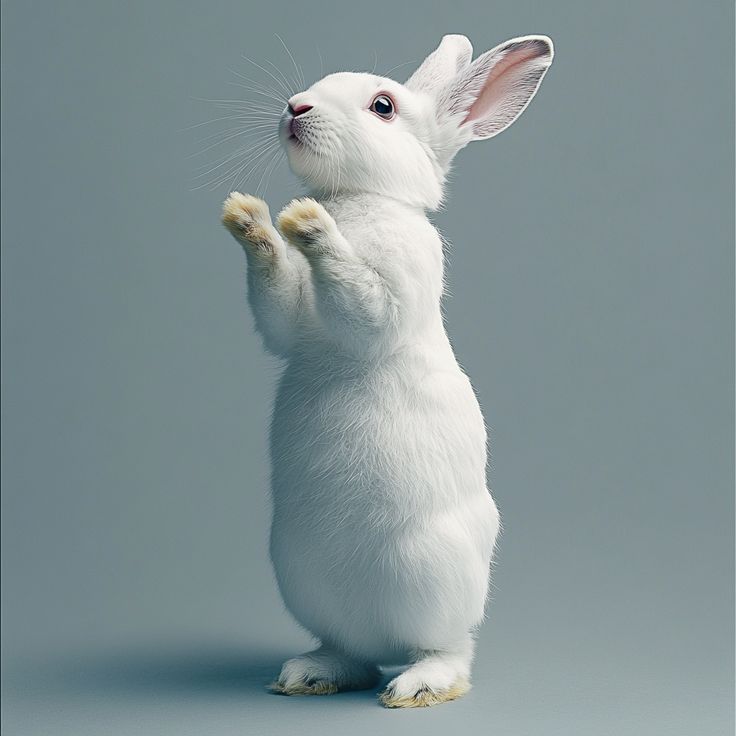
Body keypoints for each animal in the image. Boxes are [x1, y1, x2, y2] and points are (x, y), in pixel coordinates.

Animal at [221, 33, 553, 708]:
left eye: (383, 107)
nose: (296, 107)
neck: (359, 201)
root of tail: (383, 639)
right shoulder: (289, 316)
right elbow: (277, 295)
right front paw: (251, 217)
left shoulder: (389, 293)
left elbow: (361, 296)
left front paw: (309, 222)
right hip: (302, 576)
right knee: (351, 653)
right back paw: (308, 675)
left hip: (437, 582)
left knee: (449, 651)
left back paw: (416, 689)